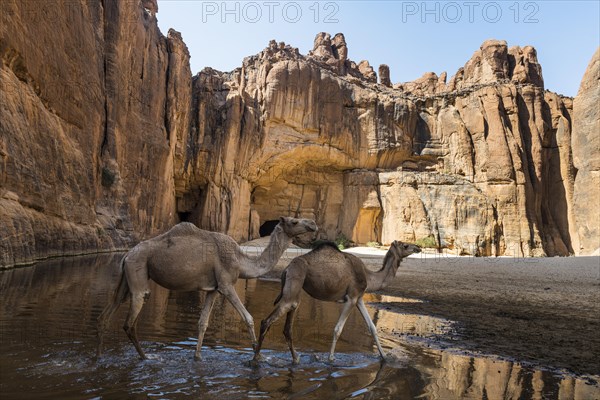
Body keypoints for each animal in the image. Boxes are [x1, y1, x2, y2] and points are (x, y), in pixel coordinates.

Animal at [96, 217, 316, 360]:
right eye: (294, 221)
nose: (313, 224)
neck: (241, 261)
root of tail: (127, 254)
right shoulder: (226, 284)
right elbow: (248, 317)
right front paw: (258, 355)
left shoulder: (213, 289)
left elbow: (203, 323)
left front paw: (197, 356)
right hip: (138, 271)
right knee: (129, 322)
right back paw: (147, 357)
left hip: (127, 278)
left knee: (106, 313)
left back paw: (100, 356)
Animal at [253, 239, 422, 364]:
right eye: (405, 245)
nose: (418, 247)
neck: (369, 277)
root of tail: (286, 269)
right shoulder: (351, 298)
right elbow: (337, 329)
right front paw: (331, 359)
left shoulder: (359, 299)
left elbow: (372, 327)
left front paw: (385, 357)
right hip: (294, 283)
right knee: (267, 321)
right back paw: (256, 358)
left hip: (295, 290)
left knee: (288, 326)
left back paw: (295, 359)